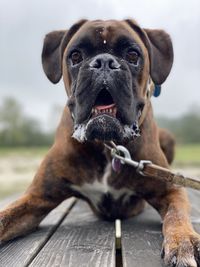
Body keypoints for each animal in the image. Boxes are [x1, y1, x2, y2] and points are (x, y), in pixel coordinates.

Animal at [0, 19, 200, 267]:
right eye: (75, 56)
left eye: (133, 55)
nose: (104, 62)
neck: (107, 146)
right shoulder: (37, 198)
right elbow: (5, 218)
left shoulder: (170, 191)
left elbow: (177, 215)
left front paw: (183, 242)